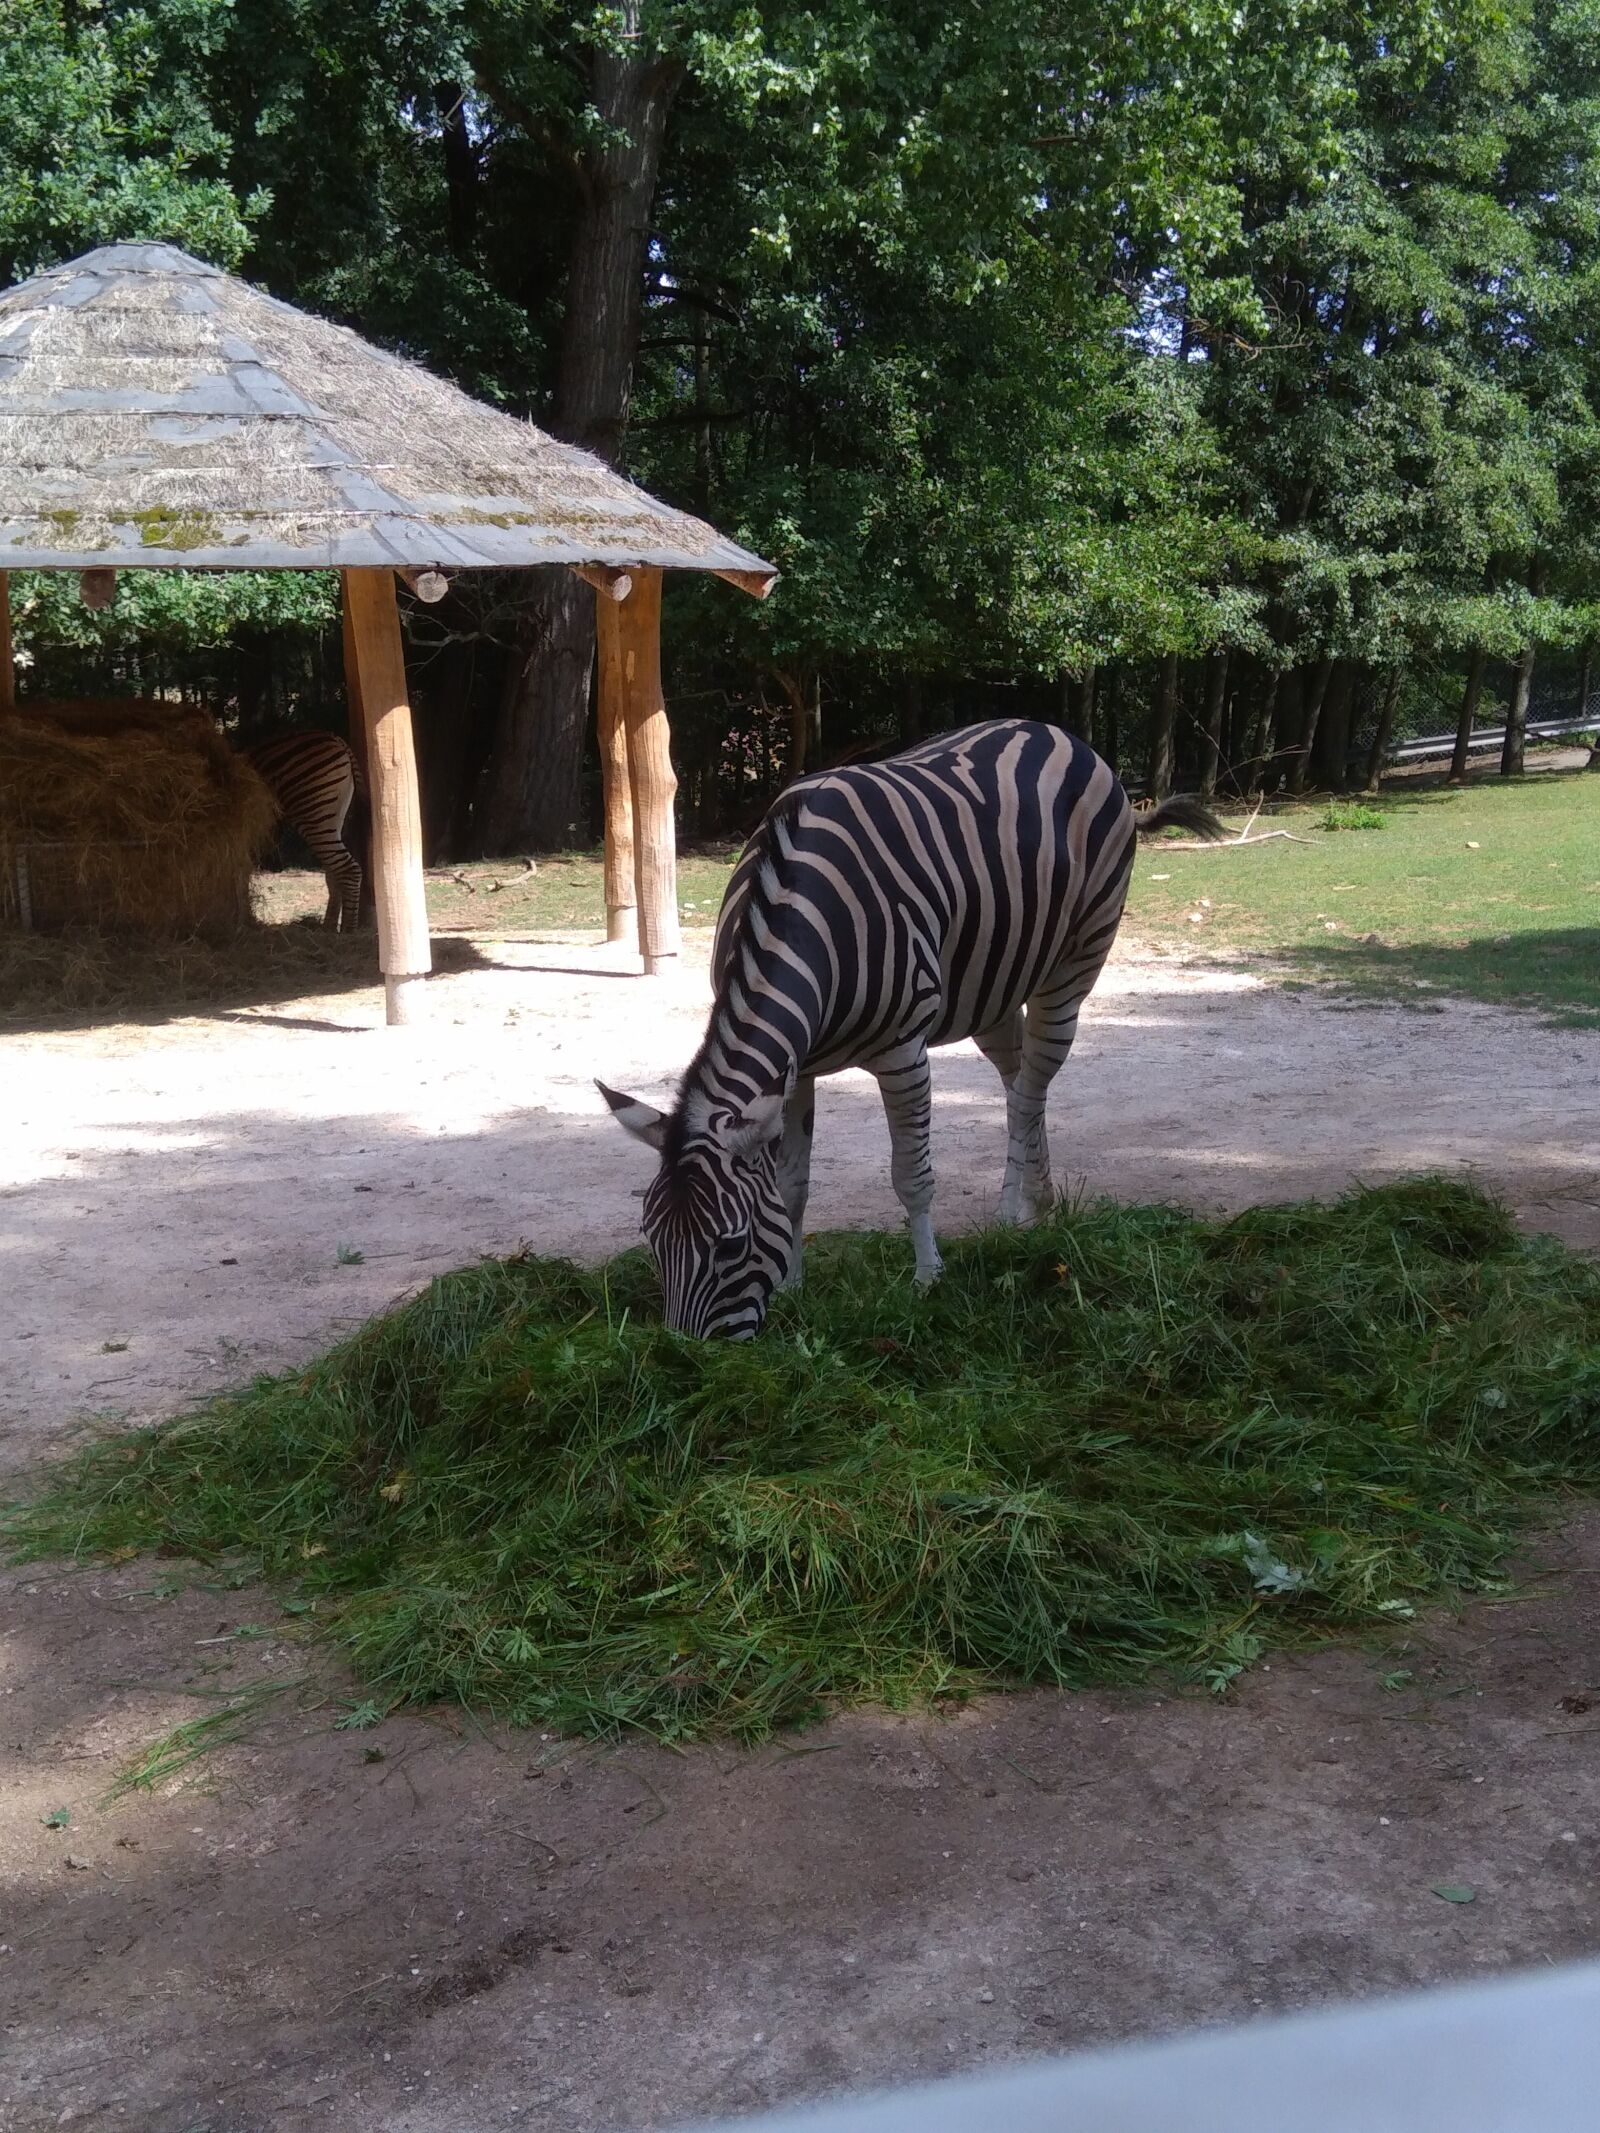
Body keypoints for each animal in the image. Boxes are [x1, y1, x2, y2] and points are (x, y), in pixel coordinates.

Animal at [242, 731, 369, 932]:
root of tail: (336, 739)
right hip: (332, 819)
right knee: (334, 871)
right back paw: (328, 928)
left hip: (315, 815)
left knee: (349, 869)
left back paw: (348, 930)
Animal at [599, 717, 1223, 1339]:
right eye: (652, 1240)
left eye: (729, 1246)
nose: (690, 1355)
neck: (797, 915)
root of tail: (1057, 733)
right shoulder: (795, 1069)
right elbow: (792, 1184)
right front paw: (795, 1285)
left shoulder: (903, 1055)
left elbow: (911, 1174)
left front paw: (927, 1281)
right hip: (990, 991)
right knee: (1021, 1078)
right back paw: (1039, 1203)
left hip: (1074, 964)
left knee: (1032, 1087)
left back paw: (1010, 1214)